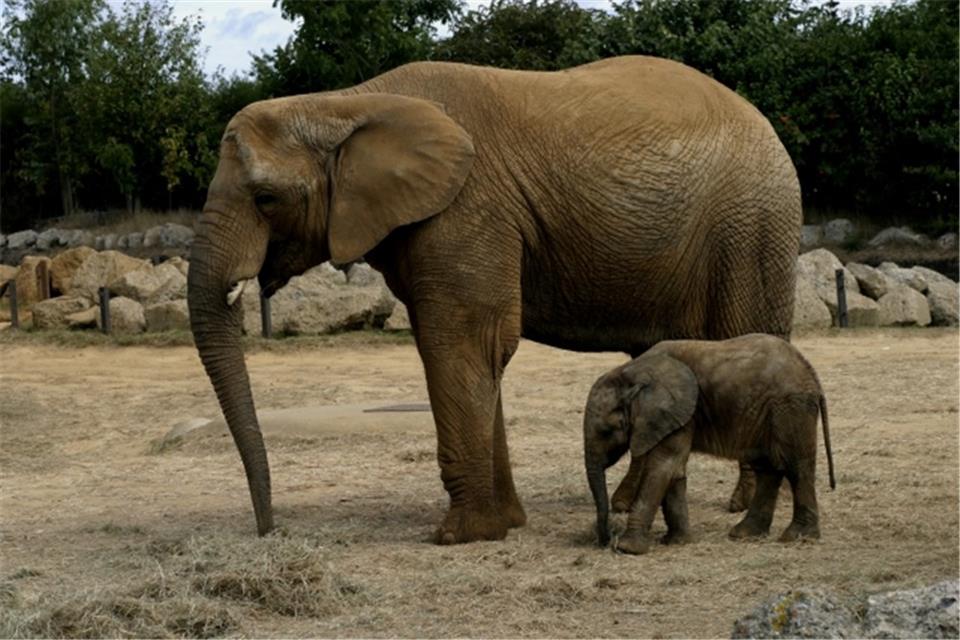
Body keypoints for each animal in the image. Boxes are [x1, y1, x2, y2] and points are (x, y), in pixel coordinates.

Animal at [187, 55, 802, 544]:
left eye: (266, 199)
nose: (271, 530)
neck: (346, 102)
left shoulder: (467, 209)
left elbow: (462, 343)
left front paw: (459, 537)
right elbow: (477, 350)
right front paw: (506, 525)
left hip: (751, 227)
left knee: (745, 339)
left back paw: (740, 506)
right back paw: (633, 502)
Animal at [583, 333, 837, 554]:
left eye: (607, 431)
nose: (605, 540)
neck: (631, 371)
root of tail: (811, 374)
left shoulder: (679, 412)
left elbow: (662, 466)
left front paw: (628, 549)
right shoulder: (676, 417)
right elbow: (674, 469)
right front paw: (677, 541)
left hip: (790, 408)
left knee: (795, 467)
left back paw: (797, 537)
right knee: (767, 468)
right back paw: (745, 534)